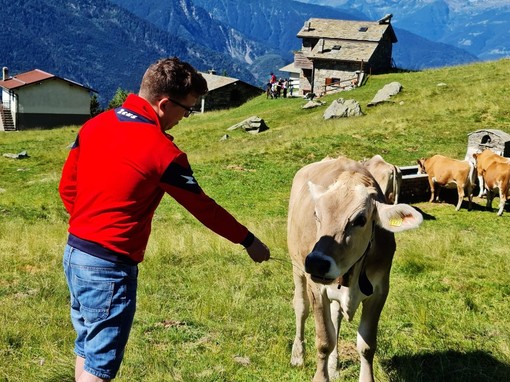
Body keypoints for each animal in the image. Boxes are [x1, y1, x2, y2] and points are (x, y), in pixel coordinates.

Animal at [286, 156, 422, 382]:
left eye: (360, 219)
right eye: (316, 214)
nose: (316, 262)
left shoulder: (379, 291)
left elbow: (366, 345)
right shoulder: (317, 289)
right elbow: (324, 340)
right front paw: (321, 375)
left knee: (336, 317)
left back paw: (334, 366)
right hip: (296, 266)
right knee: (300, 307)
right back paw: (297, 355)